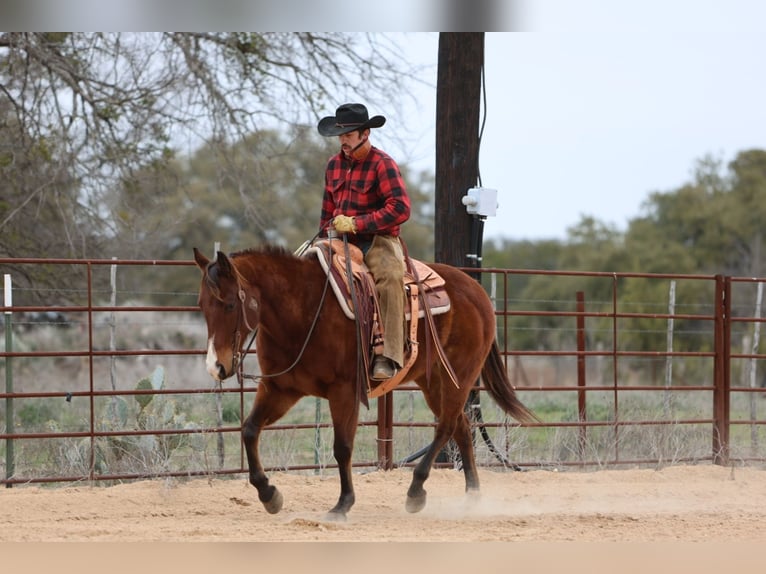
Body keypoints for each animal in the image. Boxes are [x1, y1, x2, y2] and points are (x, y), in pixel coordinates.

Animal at [195, 243, 536, 520]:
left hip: (458, 377)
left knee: (447, 426)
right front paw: (269, 494)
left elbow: (342, 447)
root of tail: (476, 290)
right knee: (461, 428)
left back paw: (416, 492)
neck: (303, 310)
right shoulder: (280, 389)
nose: (215, 366)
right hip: (434, 381)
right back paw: (472, 496)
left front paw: (342, 504)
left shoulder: (344, 392)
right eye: (201, 305)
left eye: (229, 304)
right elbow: (250, 430)